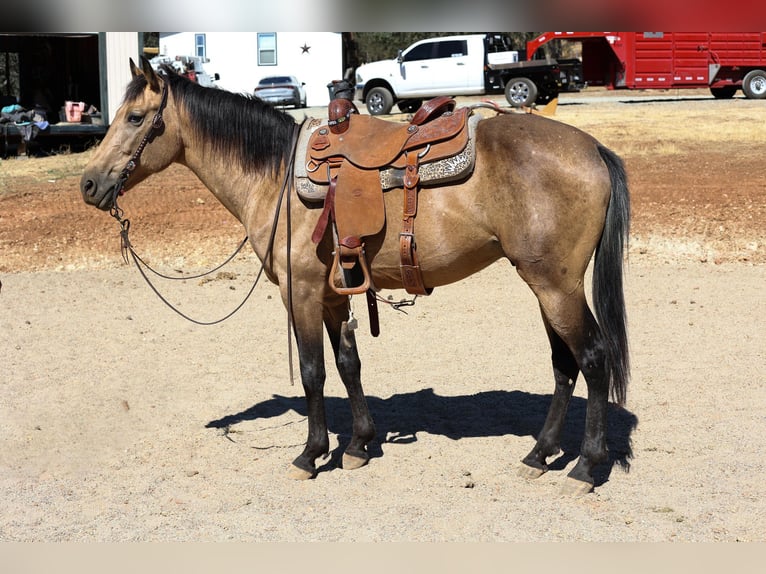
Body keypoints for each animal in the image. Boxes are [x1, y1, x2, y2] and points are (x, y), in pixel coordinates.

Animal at [80, 58, 630, 495]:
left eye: (135, 118)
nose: (88, 184)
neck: (274, 176)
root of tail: (593, 150)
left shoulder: (301, 292)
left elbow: (313, 372)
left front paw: (311, 454)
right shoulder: (333, 293)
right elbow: (349, 364)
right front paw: (360, 445)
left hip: (555, 286)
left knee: (593, 358)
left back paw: (585, 467)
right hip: (544, 284)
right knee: (564, 364)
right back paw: (539, 455)